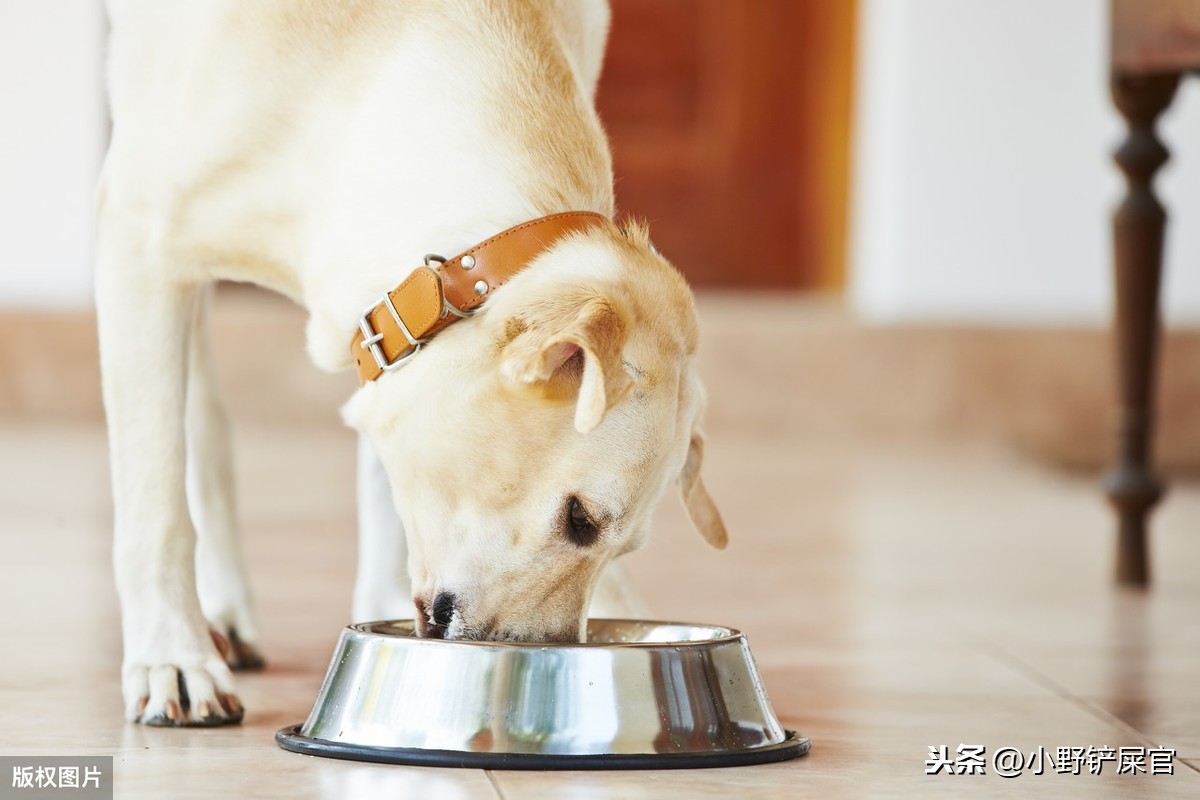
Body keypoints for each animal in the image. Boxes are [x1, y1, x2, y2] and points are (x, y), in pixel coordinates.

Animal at [96, 0, 720, 724]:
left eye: (620, 543)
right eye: (580, 519)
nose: (547, 661)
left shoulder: (384, 336)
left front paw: (378, 608)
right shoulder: (136, 242)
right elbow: (156, 505)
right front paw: (172, 656)